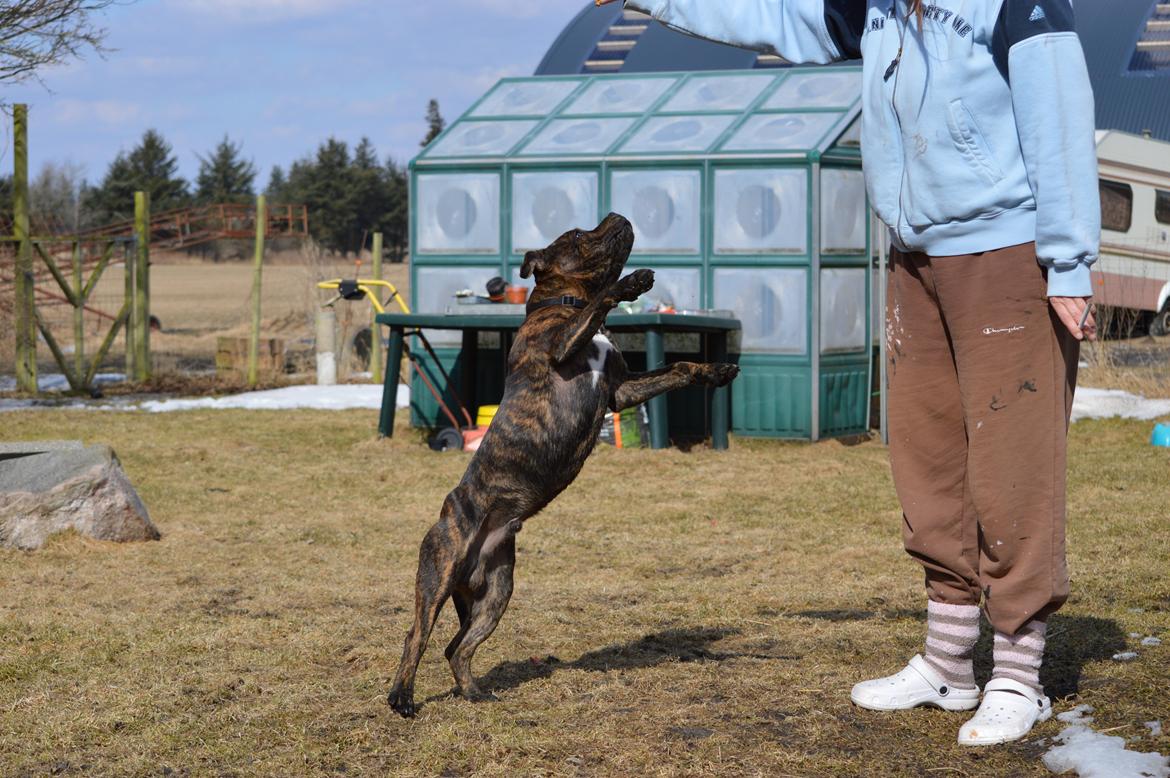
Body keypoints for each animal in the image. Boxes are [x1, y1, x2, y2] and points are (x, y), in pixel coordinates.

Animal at [388, 212, 734, 715]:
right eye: (576, 236)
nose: (617, 216)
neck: (565, 303)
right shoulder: (560, 348)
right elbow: (601, 299)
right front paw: (630, 283)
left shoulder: (621, 391)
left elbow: (679, 369)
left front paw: (716, 371)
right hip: (440, 571)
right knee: (417, 634)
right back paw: (402, 697)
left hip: (496, 593)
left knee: (457, 647)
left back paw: (474, 692)